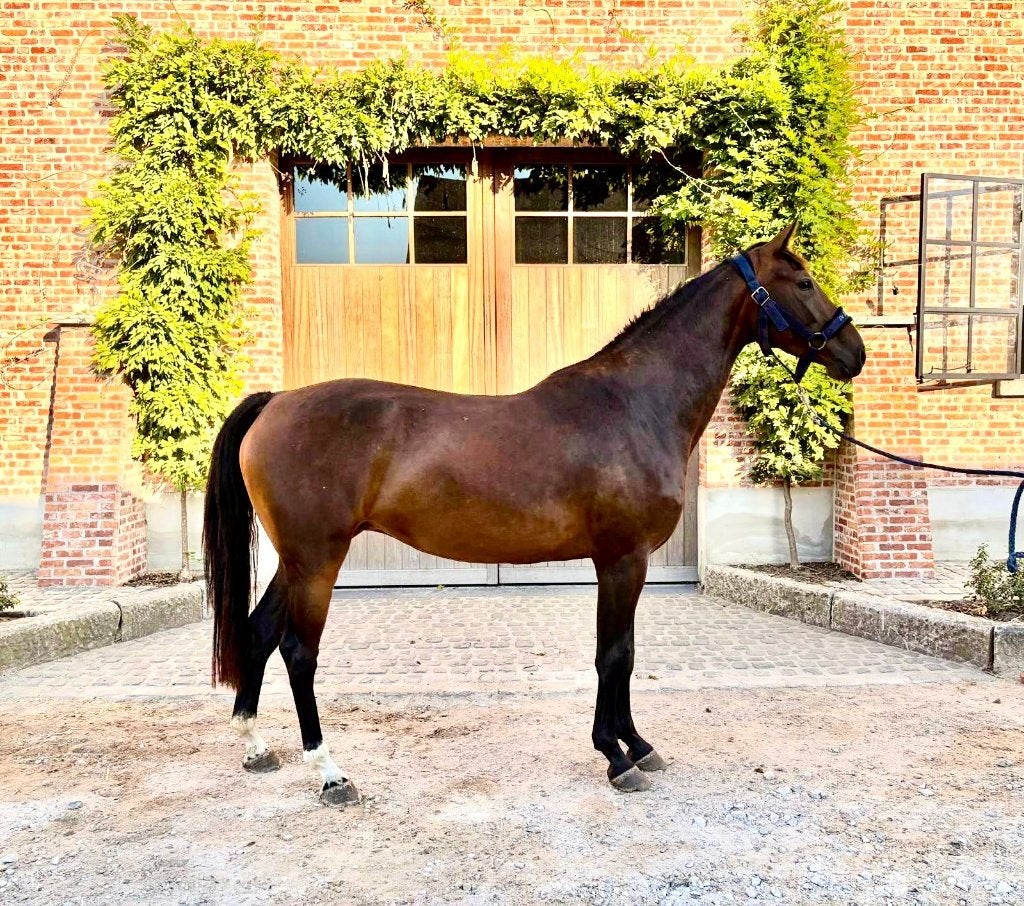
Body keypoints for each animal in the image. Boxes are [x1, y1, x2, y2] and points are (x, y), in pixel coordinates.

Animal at [203, 222, 866, 806]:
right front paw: (616, 757)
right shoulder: (622, 559)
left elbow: (624, 653)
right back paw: (331, 774)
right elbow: (613, 655)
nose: (853, 352)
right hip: (318, 560)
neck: (634, 405)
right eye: (803, 281)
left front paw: (637, 745)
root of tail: (277, 402)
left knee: (259, 633)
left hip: (296, 561)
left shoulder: (622, 563)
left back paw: (255, 745)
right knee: (297, 651)